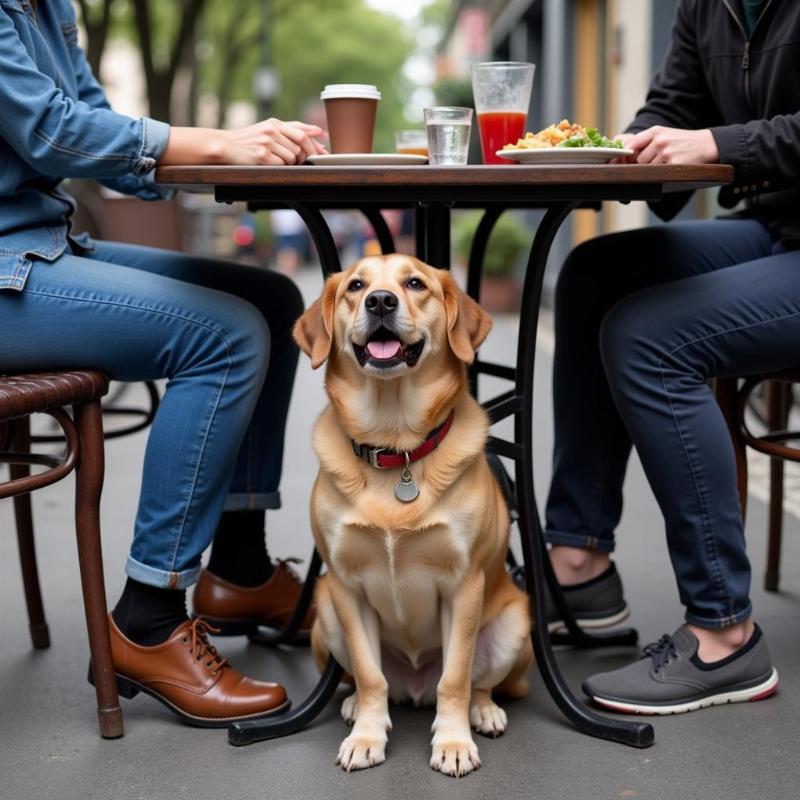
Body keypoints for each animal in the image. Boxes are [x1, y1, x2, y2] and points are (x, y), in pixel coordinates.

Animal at [294, 255, 532, 776]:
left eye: (415, 283)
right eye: (355, 285)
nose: (380, 301)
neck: (395, 446)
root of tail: (415, 688)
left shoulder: (463, 585)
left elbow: (455, 677)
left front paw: (453, 742)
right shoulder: (345, 586)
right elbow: (370, 676)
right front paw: (366, 736)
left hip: (513, 623)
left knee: (476, 683)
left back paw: (483, 711)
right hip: (325, 615)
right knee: (371, 681)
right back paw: (353, 707)